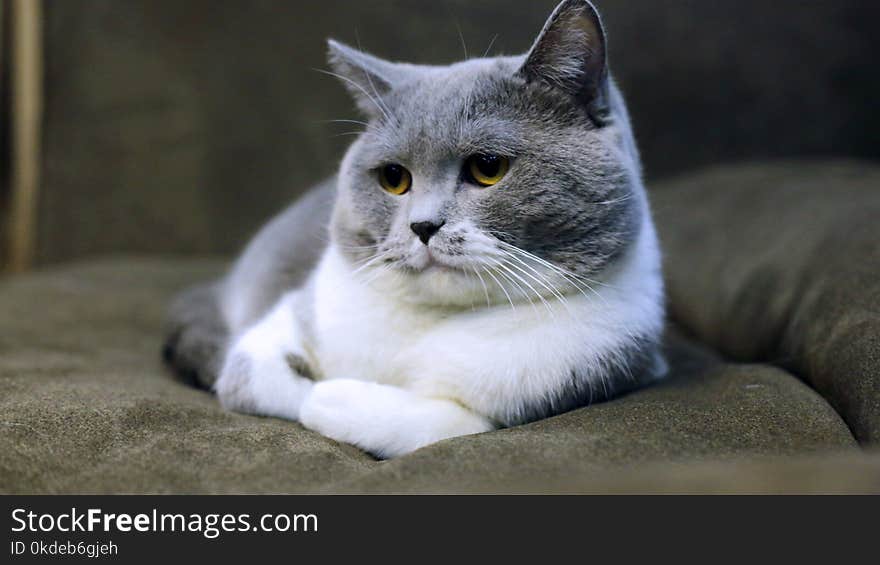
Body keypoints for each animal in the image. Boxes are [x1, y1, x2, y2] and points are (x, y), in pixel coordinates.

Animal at [162, 0, 664, 458]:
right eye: (393, 178)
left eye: (488, 168)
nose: (423, 225)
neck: (431, 326)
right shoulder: (285, 321)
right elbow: (254, 379)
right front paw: (320, 389)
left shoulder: (611, 360)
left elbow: (451, 424)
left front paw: (339, 397)